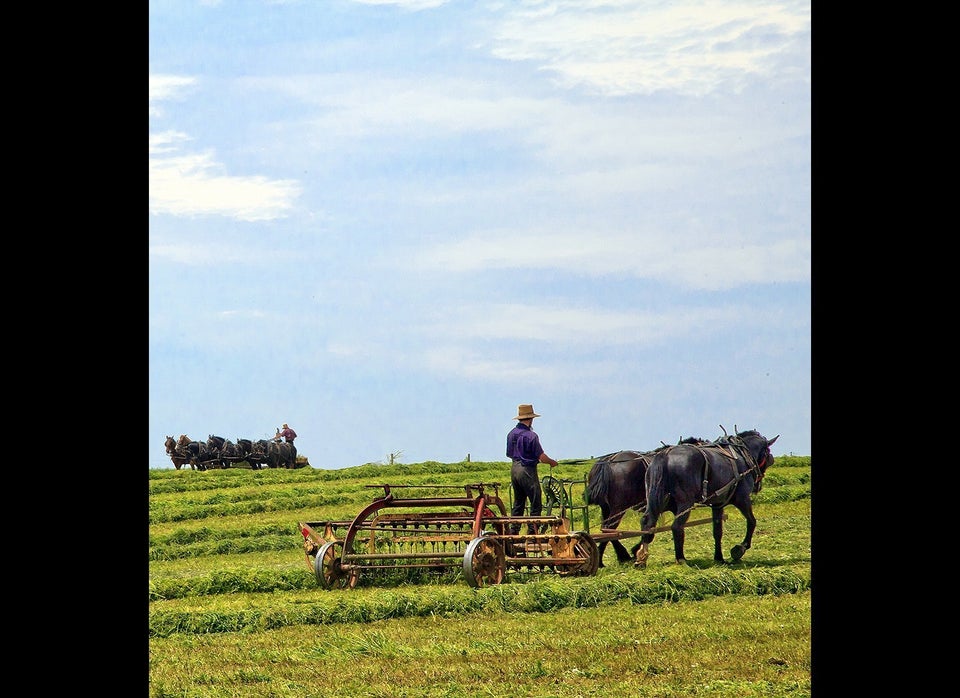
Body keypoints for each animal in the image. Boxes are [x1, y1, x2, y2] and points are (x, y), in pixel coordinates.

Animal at [580, 436, 708, 564]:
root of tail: (610, 460)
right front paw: (637, 550)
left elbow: (650, 529)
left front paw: (636, 550)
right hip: (619, 507)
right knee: (609, 528)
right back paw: (614, 557)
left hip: (606, 507)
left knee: (606, 529)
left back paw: (611, 557)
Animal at [636, 426, 780, 568]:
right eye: (767, 452)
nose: (758, 485)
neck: (742, 455)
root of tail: (665, 455)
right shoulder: (743, 499)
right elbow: (752, 521)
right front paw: (740, 549)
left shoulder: (718, 504)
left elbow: (717, 532)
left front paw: (719, 558)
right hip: (685, 503)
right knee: (676, 526)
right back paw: (681, 559)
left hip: (657, 499)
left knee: (648, 522)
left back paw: (641, 558)